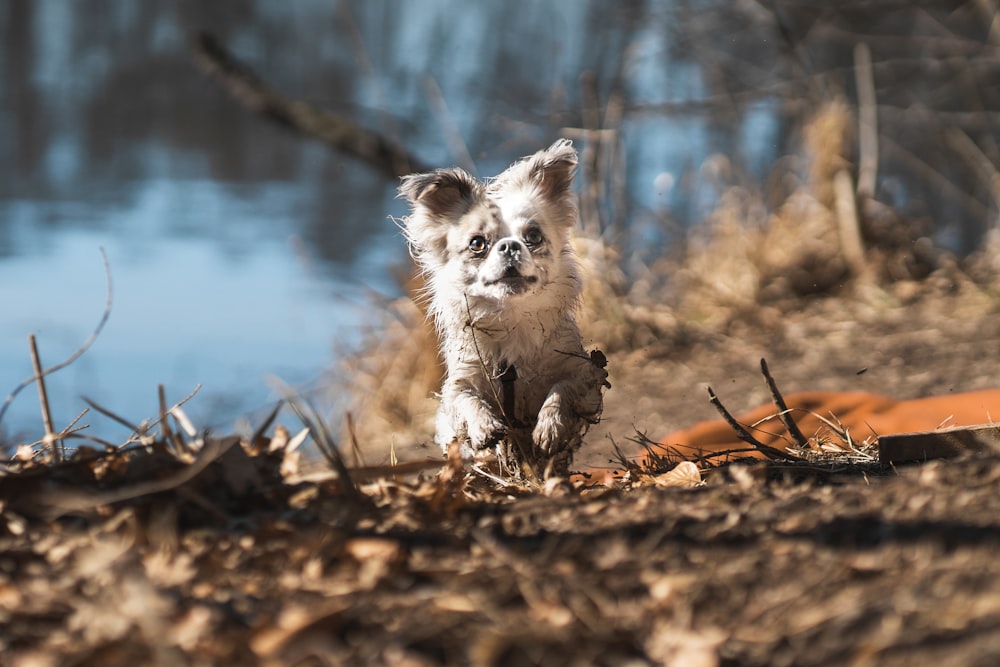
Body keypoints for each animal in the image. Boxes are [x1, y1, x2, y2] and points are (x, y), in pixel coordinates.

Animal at [398, 140, 608, 474]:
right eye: (477, 243)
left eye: (533, 236)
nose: (510, 246)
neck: (510, 317)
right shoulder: (461, 380)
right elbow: (467, 399)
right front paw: (484, 426)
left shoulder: (582, 372)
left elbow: (561, 390)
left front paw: (550, 428)